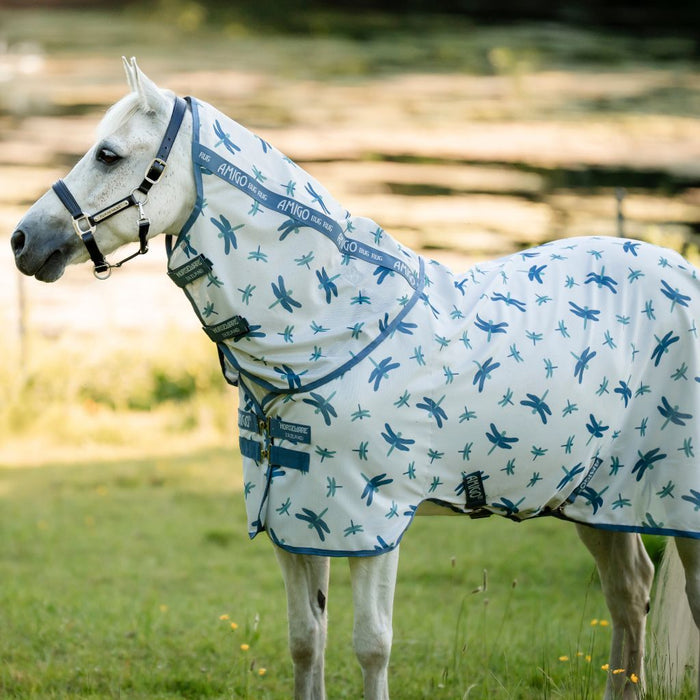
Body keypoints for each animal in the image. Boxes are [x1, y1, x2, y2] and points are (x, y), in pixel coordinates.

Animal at [11, 57, 700, 700]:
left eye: (108, 154)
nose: (21, 240)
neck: (335, 332)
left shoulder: (373, 523)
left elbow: (371, 644)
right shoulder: (292, 520)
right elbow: (304, 640)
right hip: (598, 498)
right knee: (628, 592)